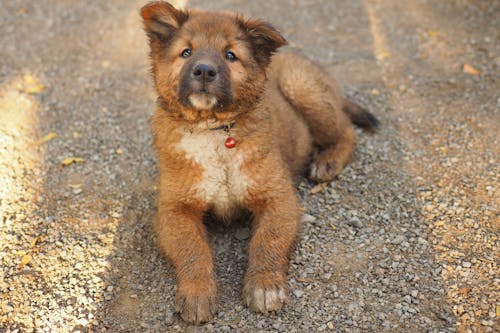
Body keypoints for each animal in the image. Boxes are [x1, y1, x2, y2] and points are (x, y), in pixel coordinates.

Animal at [139, 1, 376, 322]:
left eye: (231, 55)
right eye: (186, 52)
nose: (204, 70)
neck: (214, 130)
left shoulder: (278, 198)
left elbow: (267, 241)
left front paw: (265, 285)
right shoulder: (174, 209)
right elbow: (192, 249)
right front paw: (198, 292)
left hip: (303, 89)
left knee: (347, 130)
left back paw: (327, 161)